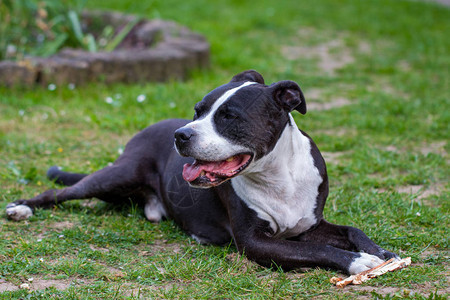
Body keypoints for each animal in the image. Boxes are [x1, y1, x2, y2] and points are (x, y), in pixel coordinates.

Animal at [4, 70, 398, 274]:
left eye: (229, 117)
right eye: (197, 110)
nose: (182, 135)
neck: (276, 175)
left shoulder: (308, 226)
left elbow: (352, 230)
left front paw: (380, 252)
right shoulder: (255, 242)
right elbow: (319, 251)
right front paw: (359, 261)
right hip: (115, 176)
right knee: (58, 192)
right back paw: (21, 207)